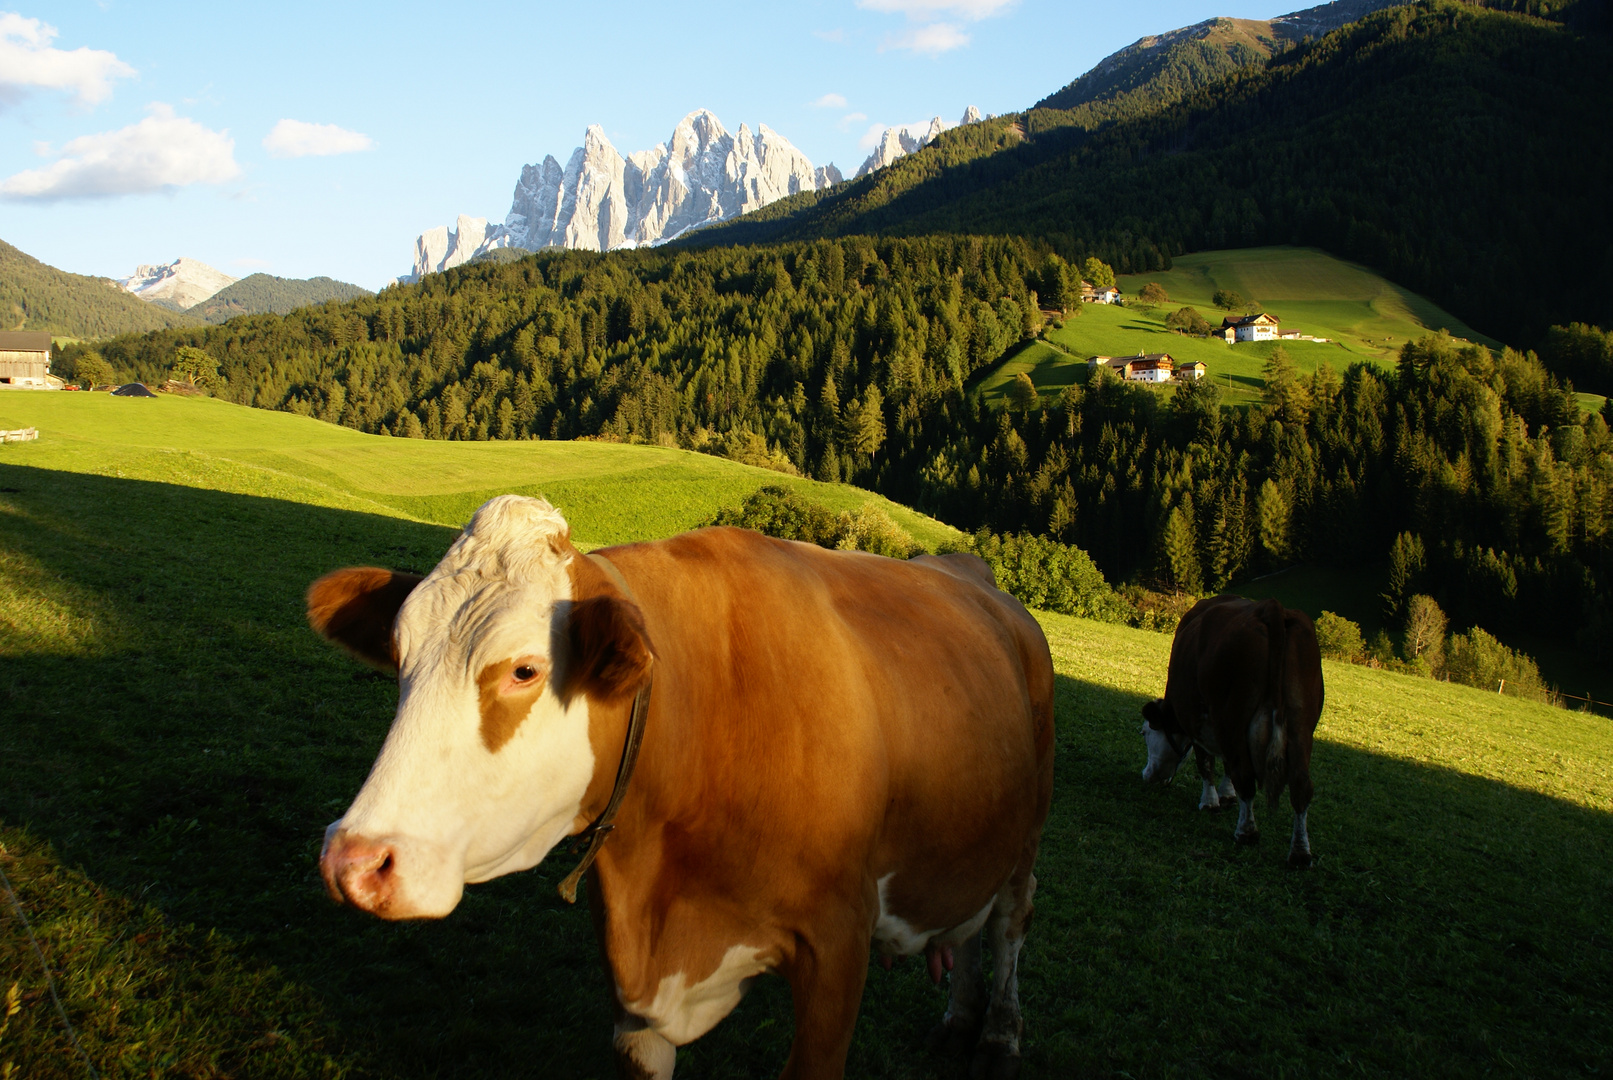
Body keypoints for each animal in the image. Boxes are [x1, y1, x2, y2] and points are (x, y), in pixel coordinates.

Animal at [309, 499, 1058, 1080]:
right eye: (399, 656)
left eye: (524, 670)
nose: (356, 862)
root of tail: (968, 569)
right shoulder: (633, 975)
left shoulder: (839, 941)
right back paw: (958, 1022)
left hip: (1029, 825)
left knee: (1008, 922)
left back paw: (997, 1035)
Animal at [1135, 596, 1322, 870]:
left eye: (1145, 733)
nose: (1146, 774)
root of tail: (1270, 607)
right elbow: (1225, 764)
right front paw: (1226, 795)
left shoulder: (1197, 720)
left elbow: (1206, 763)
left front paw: (1210, 801)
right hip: (1301, 724)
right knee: (1300, 784)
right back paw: (1300, 852)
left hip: (1231, 713)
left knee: (1245, 776)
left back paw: (1246, 832)